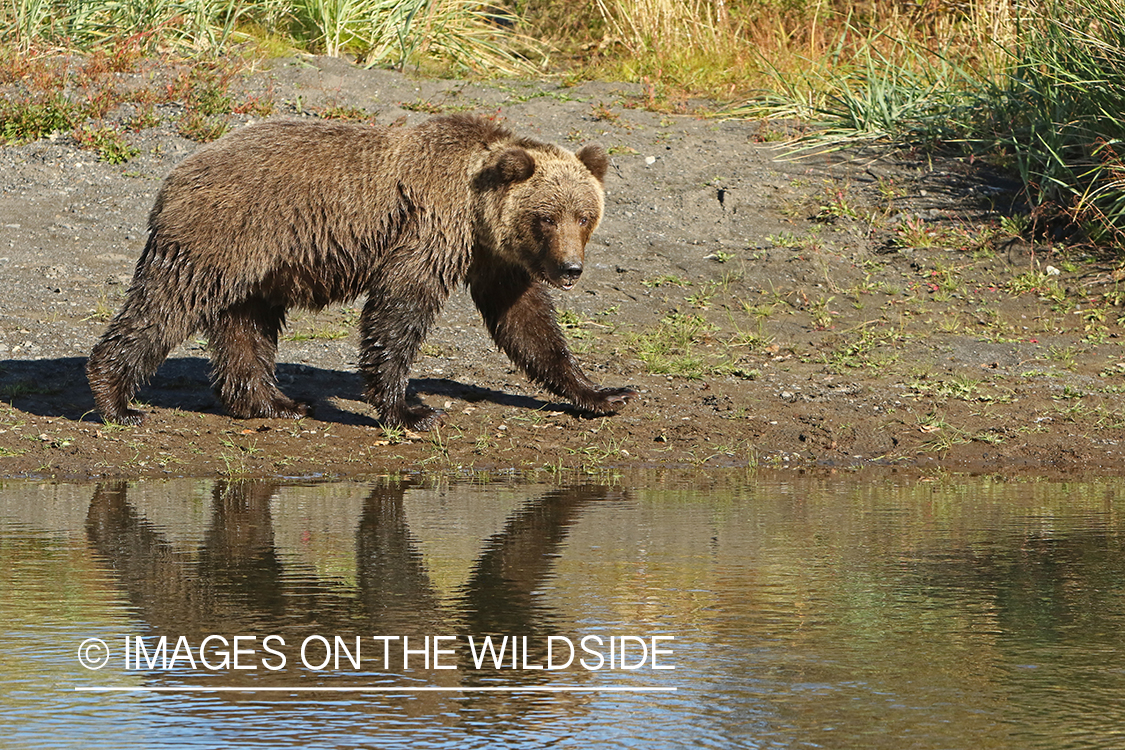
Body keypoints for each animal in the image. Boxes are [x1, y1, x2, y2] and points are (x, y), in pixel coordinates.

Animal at [85, 114, 636, 430]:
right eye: (546, 216)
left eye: (584, 215)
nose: (570, 269)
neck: (476, 212)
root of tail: (176, 173)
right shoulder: (429, 228)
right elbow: (399, 309)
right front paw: (410, 411)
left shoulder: (494, 259)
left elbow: (527, 324)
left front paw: (604, 393)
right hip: (223, 233)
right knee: (167, 304)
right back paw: (117, 401)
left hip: (259, 263)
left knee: (245, 325)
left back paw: (274, 403)